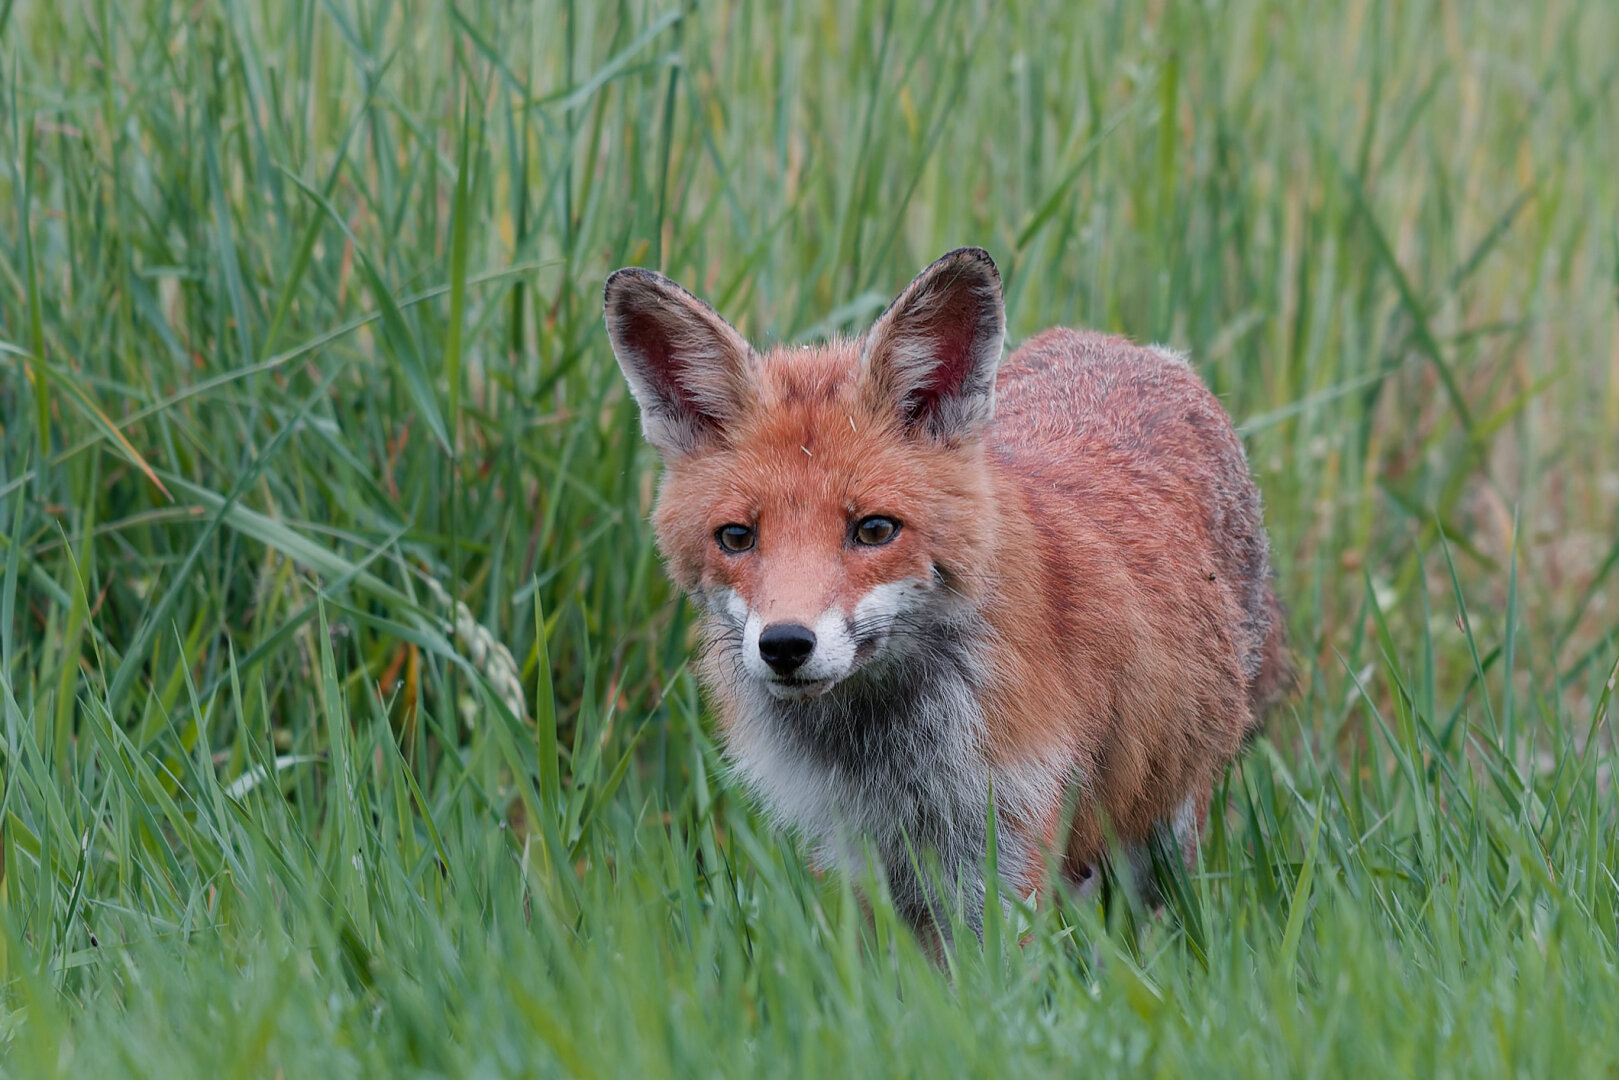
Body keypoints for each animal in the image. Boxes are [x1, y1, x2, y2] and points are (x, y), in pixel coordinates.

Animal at [603, 247, 1291, 940]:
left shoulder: (1006, 848)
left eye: (874, 529)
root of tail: (1127, 347)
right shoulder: (855, 858)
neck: (890, 760)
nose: (785, 644)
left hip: (1165, 831)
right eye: (737, 537)